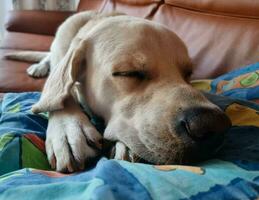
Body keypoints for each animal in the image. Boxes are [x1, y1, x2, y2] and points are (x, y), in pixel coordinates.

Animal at [5, 10, 232, 172]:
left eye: (188, 74)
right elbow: (61, 93)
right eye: (128, 73)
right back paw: (40, 66)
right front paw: (68, 130)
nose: (211, 124)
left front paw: (126, 146)